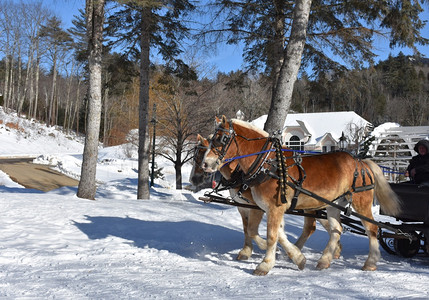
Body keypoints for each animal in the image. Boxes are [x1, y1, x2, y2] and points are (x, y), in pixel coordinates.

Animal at [190, 135, 342, 262]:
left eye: (201, 155)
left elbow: (262, 230)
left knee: (312, 226)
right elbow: (247, 228)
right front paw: (246, 251)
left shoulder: (260, 206)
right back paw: (334, 249)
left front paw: (268, 248)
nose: (193, 179)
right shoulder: (243, 206)